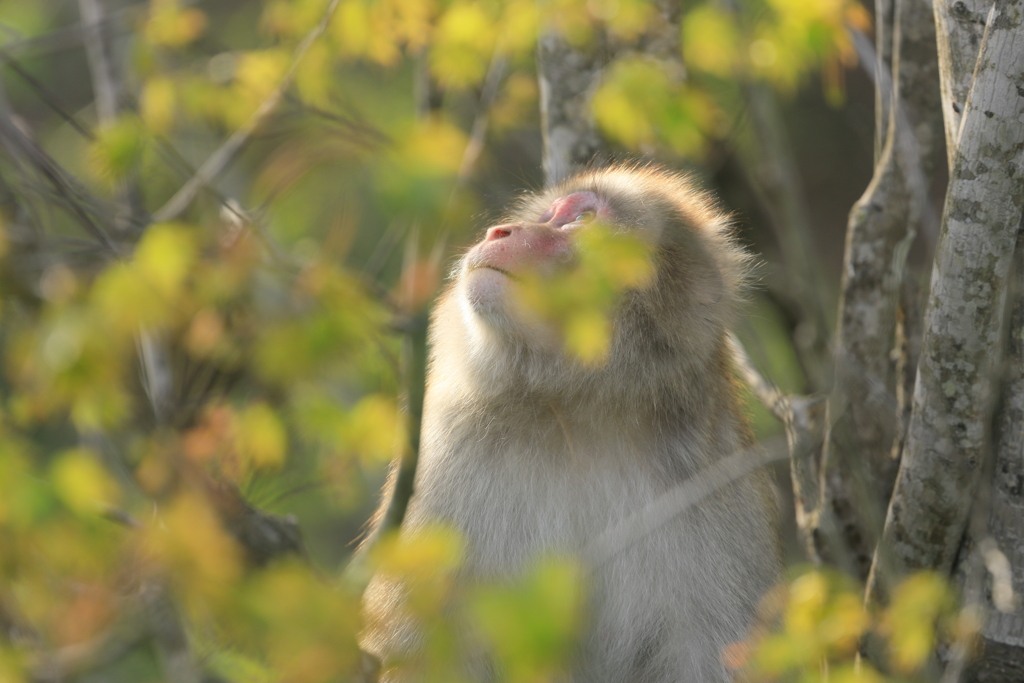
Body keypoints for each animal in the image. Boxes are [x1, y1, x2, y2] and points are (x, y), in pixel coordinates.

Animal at [364, 163, 778, 683]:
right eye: (547, 216)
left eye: (581, 219)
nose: (499, 231)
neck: (574, 411)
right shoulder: (444, 460)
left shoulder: (717, 480)